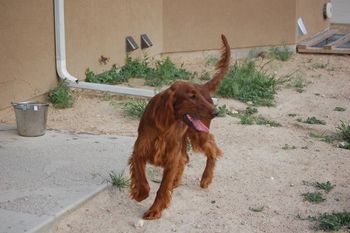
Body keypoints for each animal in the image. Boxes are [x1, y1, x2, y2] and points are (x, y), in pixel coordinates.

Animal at [128, 34, 230, 220]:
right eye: (191, 97)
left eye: (199, 97)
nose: (216, 112)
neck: (165, 124)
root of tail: (203, 85)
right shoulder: (140, 151)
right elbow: (144, 181)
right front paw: (140, 194)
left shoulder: (170, 157)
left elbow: (162, 188)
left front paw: (155, 210)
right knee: (185, 157)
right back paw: (176, 182)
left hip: (199, 134)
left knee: (212, 149)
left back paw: (206, 178)